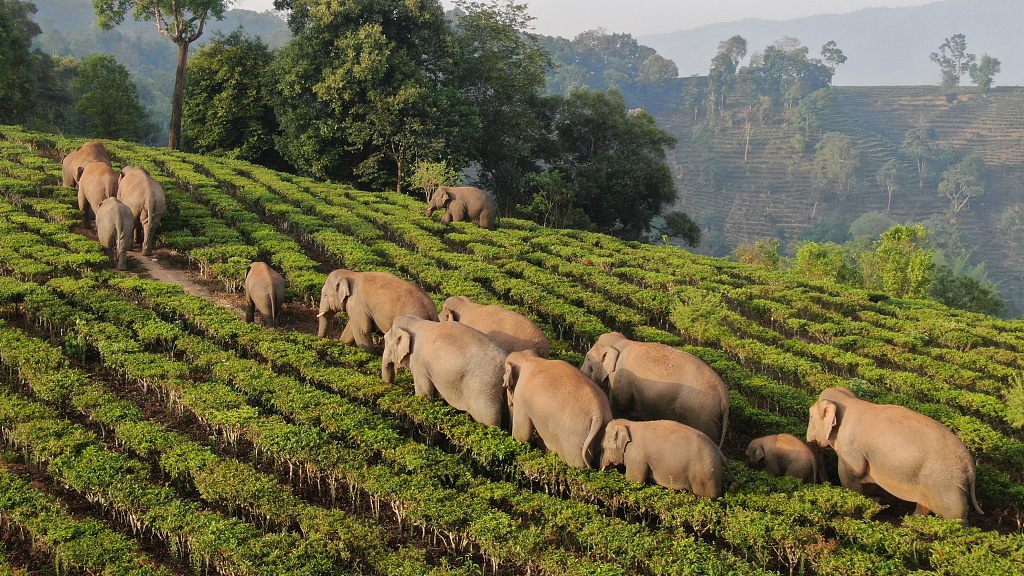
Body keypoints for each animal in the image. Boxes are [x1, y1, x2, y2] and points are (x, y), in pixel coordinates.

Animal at [581, 332, 733, 444]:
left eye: (588, 359)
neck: (622, 342)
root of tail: (724, 395)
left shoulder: (621, 379)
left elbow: (620, 406)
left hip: (702, 415)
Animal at [598, 416, 729, 498]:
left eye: (603, 447)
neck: (630, 423)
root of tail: (718, 451)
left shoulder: (636, 457)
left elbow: (635, 481)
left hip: (704, 475)